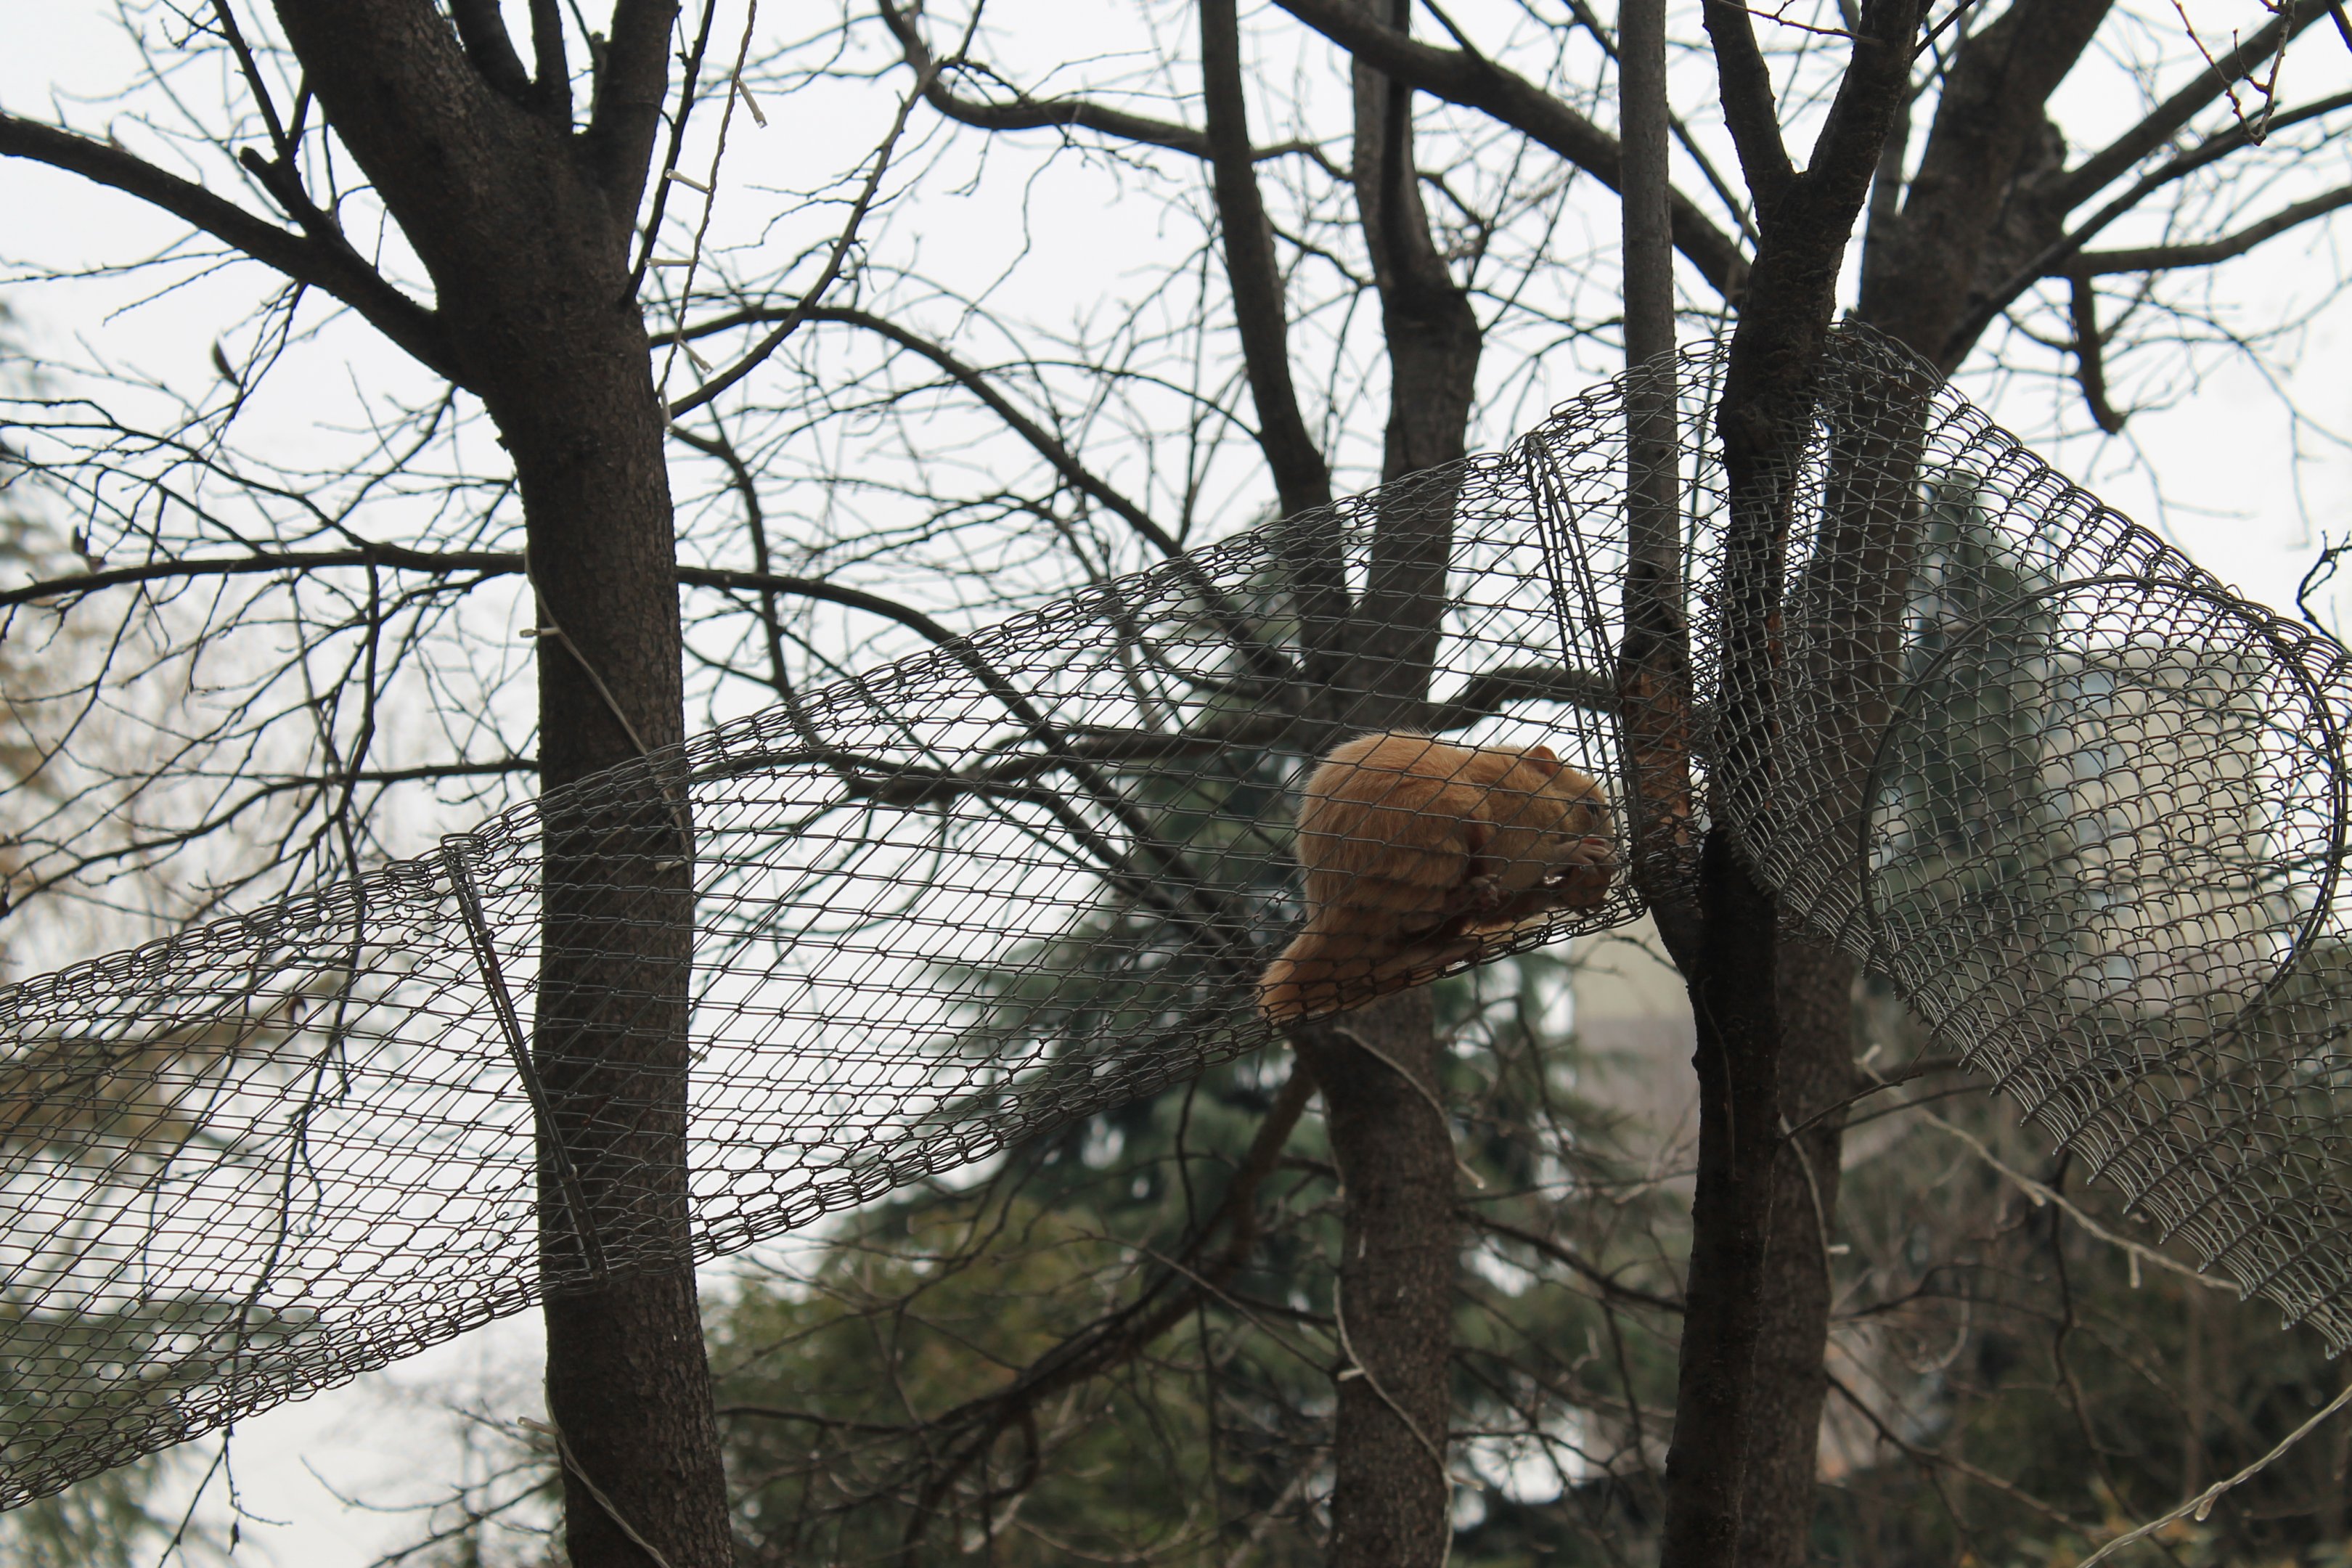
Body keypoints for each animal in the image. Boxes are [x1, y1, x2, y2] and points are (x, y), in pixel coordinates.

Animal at [1257, 731, 1615, 1022]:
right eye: (1591, 807)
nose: (1616, 850)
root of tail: (1329, 914)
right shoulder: (1511, 816)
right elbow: (1521, 861)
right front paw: (1574, 853)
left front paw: (1573, 892)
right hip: (1436, 833)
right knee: (1418, 913)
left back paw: (1450, 944)